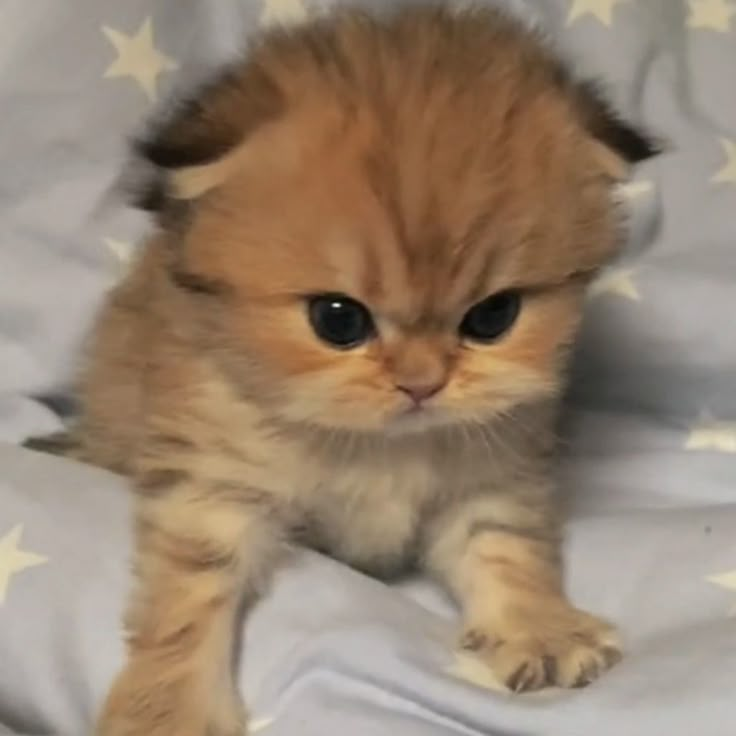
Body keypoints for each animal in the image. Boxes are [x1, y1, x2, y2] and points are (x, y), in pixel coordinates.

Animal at [25, 5, 656, 736]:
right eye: (338, 320)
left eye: (493, 316)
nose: (421, 384)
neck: (377, 445)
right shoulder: (214, 483)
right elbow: (189, 594)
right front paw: (169, 708)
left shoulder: (494, 467)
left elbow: (505, 544)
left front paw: (539, 626)